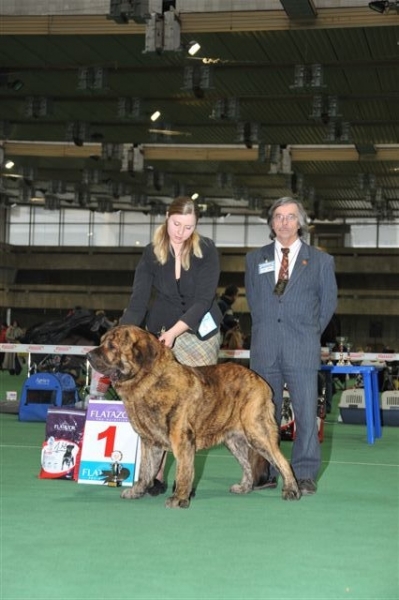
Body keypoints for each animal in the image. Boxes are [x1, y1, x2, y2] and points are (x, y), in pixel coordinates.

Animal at [86, 326, 300, 508]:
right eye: (103, 342)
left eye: (112, 346)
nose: (88, 355)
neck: (149, 380)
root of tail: (262, 382)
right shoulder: (150, 441)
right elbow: (145, 470)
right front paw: (137, 491)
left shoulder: (182, 439)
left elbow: (183, 471)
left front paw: (179, 498)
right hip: (234, 440)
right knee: (247, 465)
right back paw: (244, 487)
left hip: (257, 432)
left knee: (281, 460)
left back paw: (291, 490)